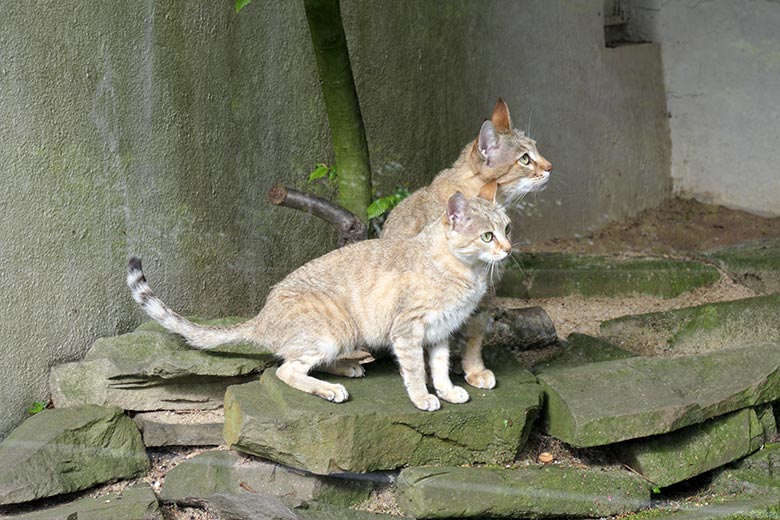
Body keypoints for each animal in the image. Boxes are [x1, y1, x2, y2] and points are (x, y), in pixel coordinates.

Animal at [128, 189, 512, 412]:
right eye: (487, 236)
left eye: (507, 228)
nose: (509, 248)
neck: (465, 272)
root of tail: (261, 317)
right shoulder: (409, 330)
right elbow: (417, 370)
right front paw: (423, 398)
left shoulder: (440, 332)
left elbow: (440, 367)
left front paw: (447, 391)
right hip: (334, 329)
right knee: (287, 369)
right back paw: (330, 389)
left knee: (298, 361)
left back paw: (347, 368)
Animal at [380, 98, 552, 390]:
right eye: (525, 159)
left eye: (536, 148)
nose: (550, 167)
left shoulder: (484, 293)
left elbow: (474, 334)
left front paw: (473, 368)